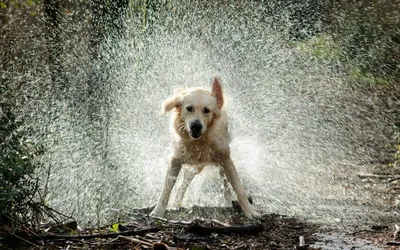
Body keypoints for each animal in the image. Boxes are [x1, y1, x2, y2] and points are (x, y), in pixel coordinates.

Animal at [148, 76, 260, 219]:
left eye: (206, 110)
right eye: (189, 108)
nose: (196, 126)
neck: (199, 141)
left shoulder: (226, 159)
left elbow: (237, 187)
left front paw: (250, 211)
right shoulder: (175, 160)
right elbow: (167, 188)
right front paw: (158, 211)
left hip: (218, 163)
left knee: (225, 182)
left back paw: (228, 200)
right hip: (194, 167)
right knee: (183, 184)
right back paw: (175, 203)